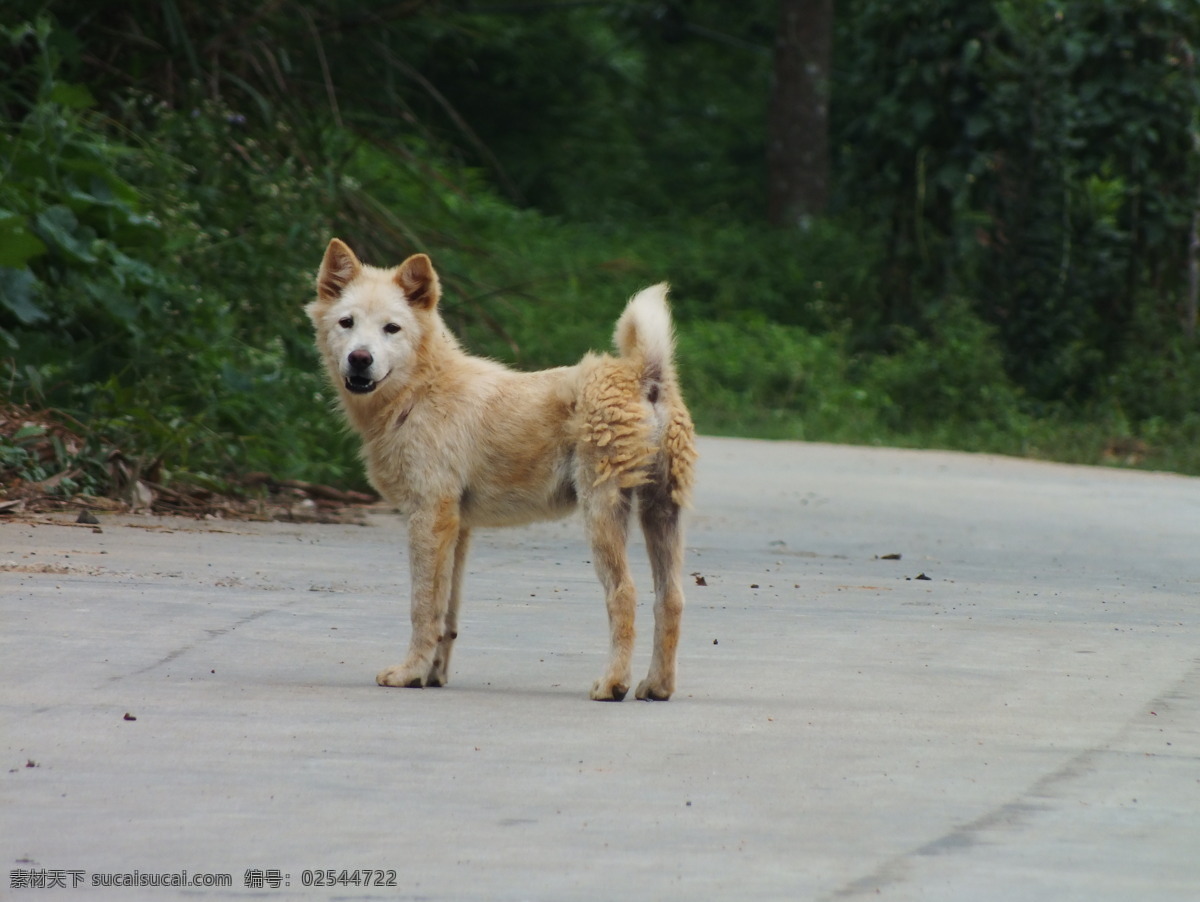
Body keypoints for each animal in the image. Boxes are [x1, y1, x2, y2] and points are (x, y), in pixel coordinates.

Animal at [309, 237, 700, 695]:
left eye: (392, 328)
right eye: (346, 322)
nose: (359, 359)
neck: (420, 389)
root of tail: (644, 375)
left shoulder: (428, 517)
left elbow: (423, 607)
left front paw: (408, 673)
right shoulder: (457, 528)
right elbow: (448, 612)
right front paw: (433, 675)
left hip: (602, 512)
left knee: (624, 594)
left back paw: (612, 684)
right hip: (662, 511)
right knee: (671, 599)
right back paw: (657, 687)